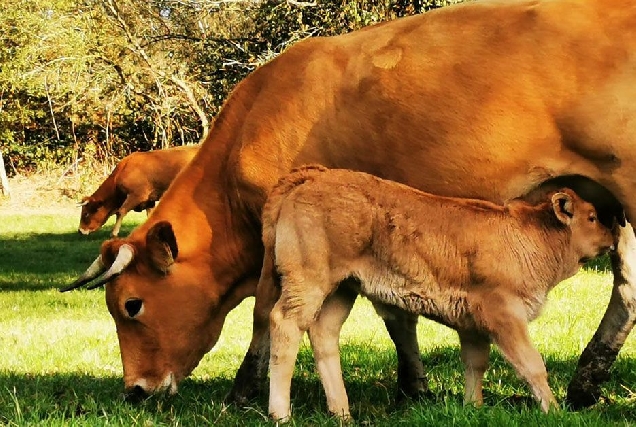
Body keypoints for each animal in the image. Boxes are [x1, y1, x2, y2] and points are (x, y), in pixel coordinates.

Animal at [260, 166, 616, 420]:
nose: (612, 234)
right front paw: (554, 410)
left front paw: (474, 407)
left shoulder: (473, 325)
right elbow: (531, 364)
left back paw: (342, 413)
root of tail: (313, 175)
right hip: (308, 282)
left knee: (323, 334)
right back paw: (281, 414)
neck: (532, 237)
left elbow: (475, 364)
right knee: (285, 325)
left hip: (342, 289)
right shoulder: (504, 314)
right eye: (592, 217)